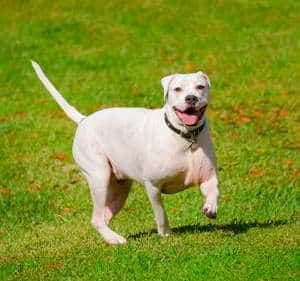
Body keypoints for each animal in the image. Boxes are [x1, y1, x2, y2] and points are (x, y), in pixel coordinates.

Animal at [31, 60, 219, 243]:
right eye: (177, 89)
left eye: (200, 87)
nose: (191, 98)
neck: (185, 136)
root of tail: (84, 120)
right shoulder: (153, 186)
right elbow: (160, 213)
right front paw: (165, 233)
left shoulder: (208, 176)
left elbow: (214, 190)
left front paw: (210, 207)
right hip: (99, 177)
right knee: (96, 218)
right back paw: (115, 239)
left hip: (119, 191)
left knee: (103, 216)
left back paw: (110, 237)